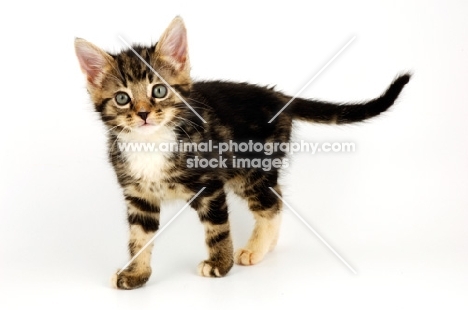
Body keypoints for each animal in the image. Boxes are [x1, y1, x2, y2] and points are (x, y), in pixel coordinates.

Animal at [73, 15, 410, 290]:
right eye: (122, 98)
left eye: (159, 90)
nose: (143, 114)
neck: (152, 142)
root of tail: (278, 96)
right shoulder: (138, 196)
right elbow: (139, 238)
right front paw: (136, 275)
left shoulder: (209, 185)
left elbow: (218, 229)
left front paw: (221, 265)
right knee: (277, 196)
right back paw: (266, 245)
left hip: (252, 168)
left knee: (270, 204)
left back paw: (254, 248)